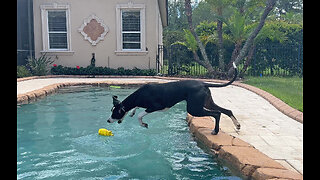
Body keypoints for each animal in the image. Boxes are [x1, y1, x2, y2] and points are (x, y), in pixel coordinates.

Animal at [107, 62, 240, 134]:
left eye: (115, 113)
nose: (108, 121)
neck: (140, 95)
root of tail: (203, 83)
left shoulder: (156, 107)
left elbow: (140, 115)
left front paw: (143, 124)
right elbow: (136, 109)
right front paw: (132, 112)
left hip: (194, 109)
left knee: (217, 113)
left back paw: (216, 131)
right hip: (206, 103)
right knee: (226, 111)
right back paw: (237, 125)